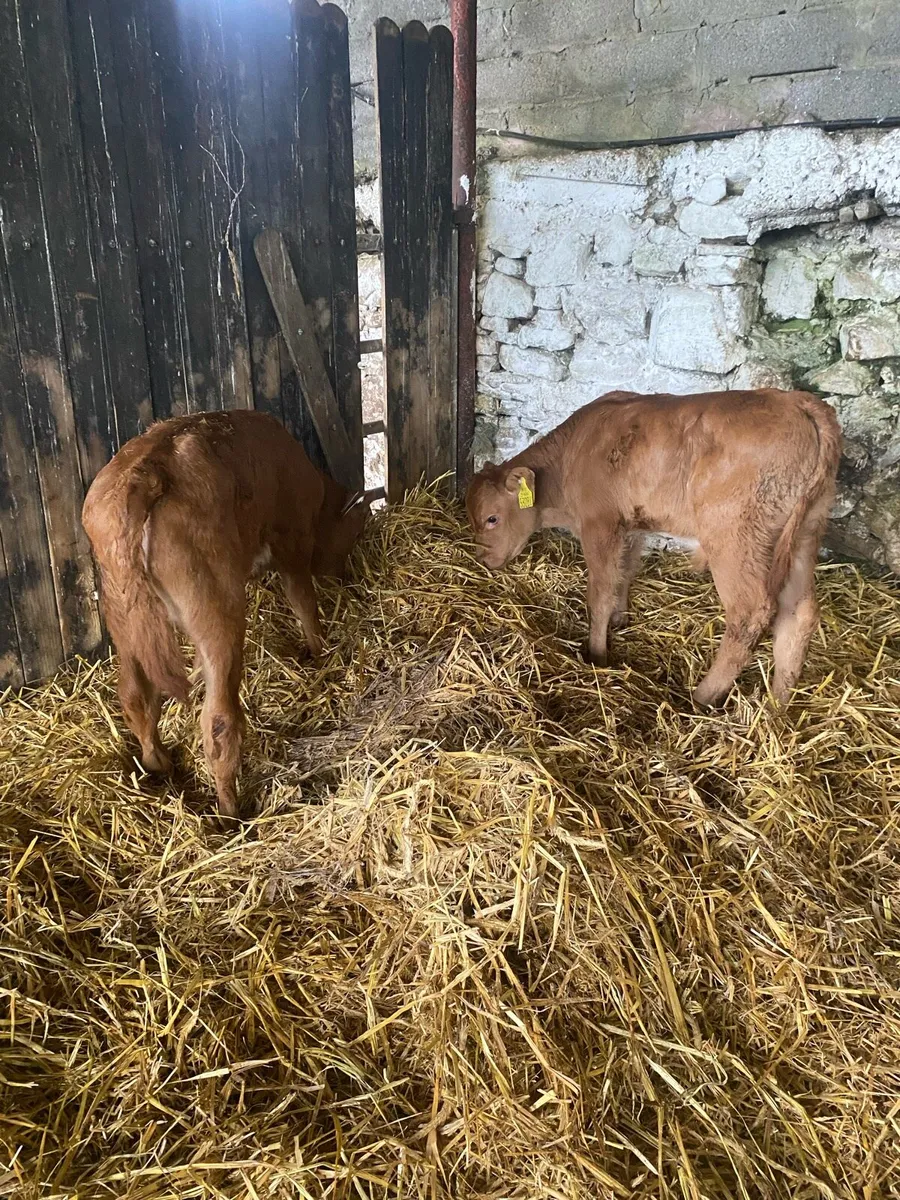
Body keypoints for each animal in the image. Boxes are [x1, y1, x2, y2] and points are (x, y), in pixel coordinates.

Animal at [82, 410, 369, 818]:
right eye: (356, 530)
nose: (347, 575)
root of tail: (145, 474)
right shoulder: (292, 541)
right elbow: (303, 600)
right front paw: (321, 650)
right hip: (217, 613)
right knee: (218, 721)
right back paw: (232, 811)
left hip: (126, 622)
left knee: (136, 695)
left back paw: (158, 763)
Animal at [466, 388, 842, 707]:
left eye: (492, 519)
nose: (483, 558)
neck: (571, 455)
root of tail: (797, 402)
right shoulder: (632, 525)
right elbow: (625, 571)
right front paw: (620, 618)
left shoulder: (599, 523)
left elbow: (600, 591)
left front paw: (597, 654)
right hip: (805, 531)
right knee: (800, 613)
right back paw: (779, 702)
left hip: (736, 536)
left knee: (750, 612)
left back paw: (703, 696)